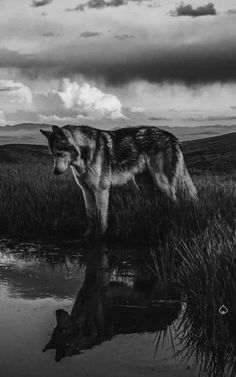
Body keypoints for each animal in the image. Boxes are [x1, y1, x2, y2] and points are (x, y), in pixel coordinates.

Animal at [41, 125, 197, 234]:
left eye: (60, 153)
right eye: (53, 155)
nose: (55, 172)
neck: (85, 154)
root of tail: (173, 137)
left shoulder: (101, 191)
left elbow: (101, 220)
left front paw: (100, 237)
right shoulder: (86, 191)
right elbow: (90, 217)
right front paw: (87, 235)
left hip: (162, 183)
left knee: (175, 202)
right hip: (144, 186)